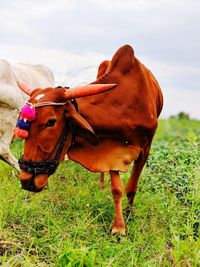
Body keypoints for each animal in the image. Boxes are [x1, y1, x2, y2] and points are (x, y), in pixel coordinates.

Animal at [15, 45, 162, 236]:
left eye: (50, 122)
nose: (26, 180)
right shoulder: (110, 148)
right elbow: (117, 189)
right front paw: (119, 226)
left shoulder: (145, 149)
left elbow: (131, 188)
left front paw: (129, 216)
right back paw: (101, 186)